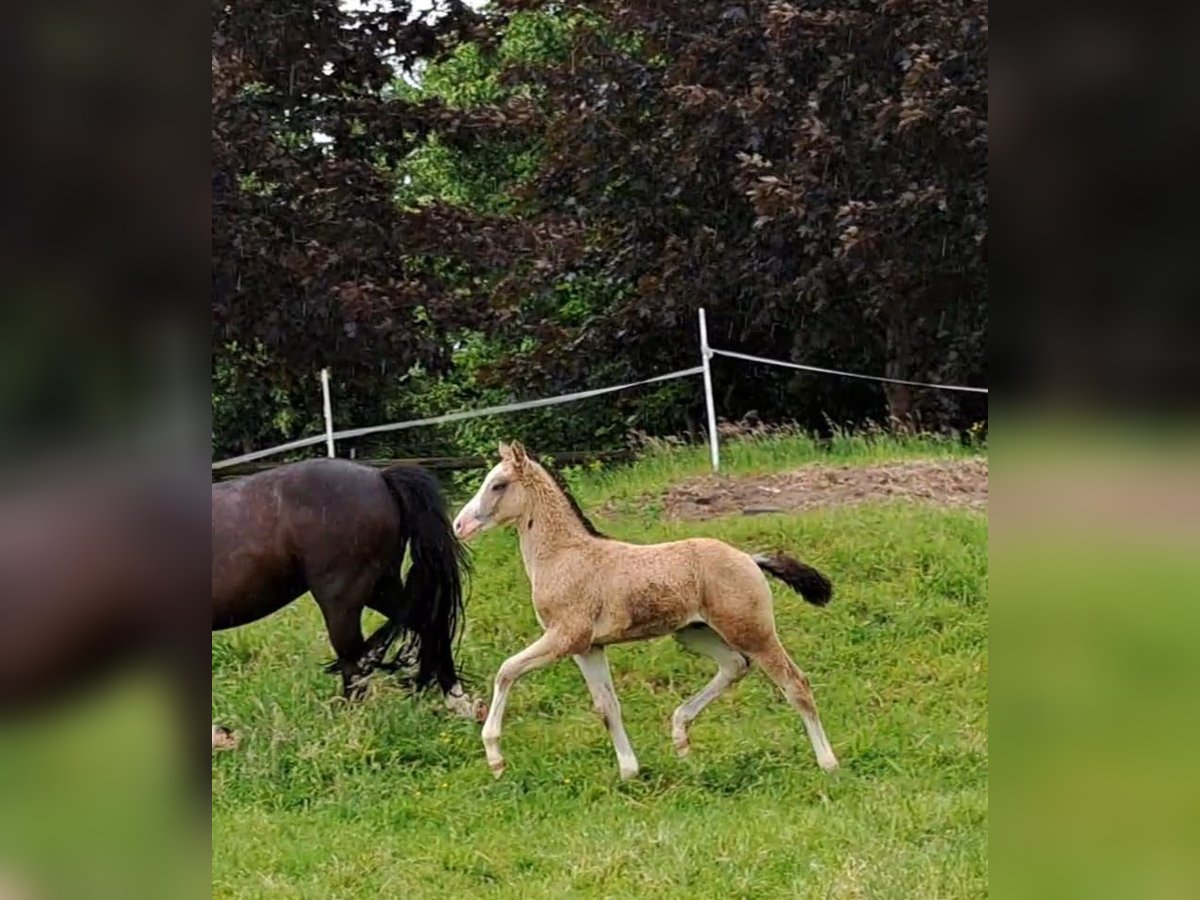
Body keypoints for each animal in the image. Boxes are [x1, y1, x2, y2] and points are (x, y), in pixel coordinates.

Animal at [213, 458, 480, 720]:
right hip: (381, 589)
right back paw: (459, 703)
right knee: (429, 625)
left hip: (343, 602)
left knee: (354, 663)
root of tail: (380, 476)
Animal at [453, 444, 840, 782]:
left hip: (752, 632)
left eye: (498, 485)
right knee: (734, 666)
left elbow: (506, 671)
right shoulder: (588, 648)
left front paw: (495, 759)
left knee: (795, 683)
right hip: (693, 632)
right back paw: (681, 736)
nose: (459, 525)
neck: (565, 555)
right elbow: (607, 707)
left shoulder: (565, 637)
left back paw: (828, 763)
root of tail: (749, 558)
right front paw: (629, 772)